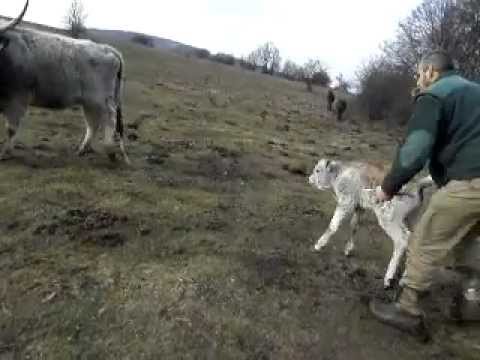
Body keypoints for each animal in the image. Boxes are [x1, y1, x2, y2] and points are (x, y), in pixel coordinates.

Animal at [0, 0, 129, 163]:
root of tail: (107, 48)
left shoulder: (17, 99)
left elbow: (11, 129)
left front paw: (4, 153)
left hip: (101, 99)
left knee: (109, 119)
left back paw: (110, 150)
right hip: (90, 102)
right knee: (93, 123)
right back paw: (83, 149)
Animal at [310, 159, 434, 288]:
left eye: (317, 170)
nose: (310, 179)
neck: (339, 174)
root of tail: (418, 184)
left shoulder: (346, 202)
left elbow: (333, 225)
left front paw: (318, 245)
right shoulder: (359, 207)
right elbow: (354, 225)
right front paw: (348, 249)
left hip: (388, 218)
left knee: (402, 239)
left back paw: (388, 278)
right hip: (411, 217)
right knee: (414, 240)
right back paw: (405, 277)